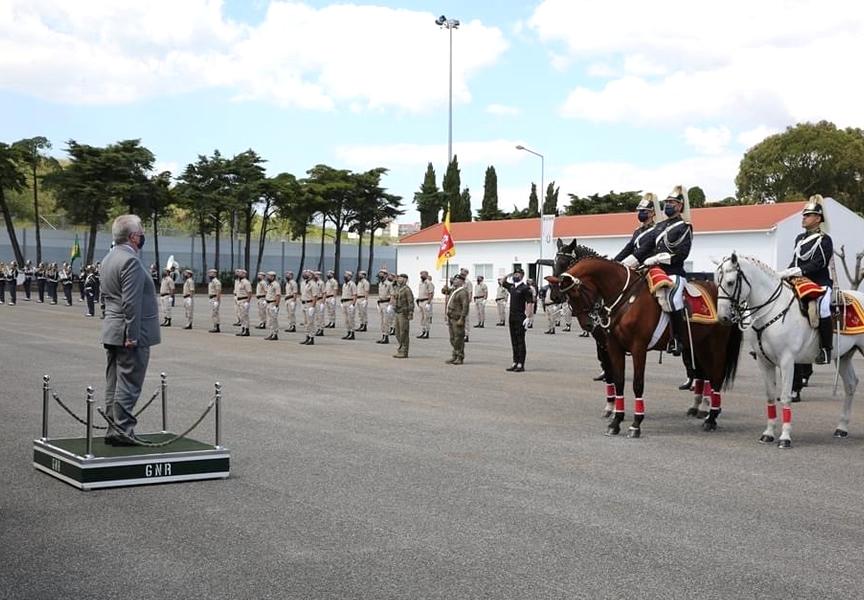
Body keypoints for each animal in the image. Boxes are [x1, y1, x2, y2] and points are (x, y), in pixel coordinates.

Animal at [552, 243, 740, 436]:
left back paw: (710, 417)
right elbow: (618, 380)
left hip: (715, 345)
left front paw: (635, 423)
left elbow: (637, 384)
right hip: (699, 346)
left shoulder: (638, 348)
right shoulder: (611, 346)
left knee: (715, 376)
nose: (588, 324)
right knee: (705, 374)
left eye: (577, 292)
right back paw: (703, 409)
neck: (626, 298)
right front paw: (616, 419)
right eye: (554, 263)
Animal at [716, 251, 864, 448]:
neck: (772, 309)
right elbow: (770, 396)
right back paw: (842, 428)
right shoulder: (764, 362)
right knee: (850, 384)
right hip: (845, 356)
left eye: (730, 282)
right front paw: (768, 433)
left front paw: (785, 437)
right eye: (717, 281)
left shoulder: (787, 361)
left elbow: (785, 396)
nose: (723, 317)